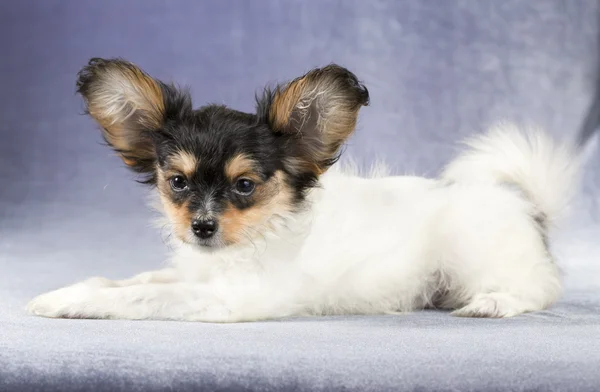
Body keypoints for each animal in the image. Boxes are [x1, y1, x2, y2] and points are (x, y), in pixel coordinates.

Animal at [27, 58, 580, 322]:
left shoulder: (231, 298)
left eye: (244, 185)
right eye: (178, 182)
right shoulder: (193, 272)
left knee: (539, 288)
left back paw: (493, 303)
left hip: (478, 257)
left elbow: (144, 297)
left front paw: (67, 303)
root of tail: (528, 207)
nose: (202, 226)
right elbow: (135, 281)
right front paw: (69, 290)